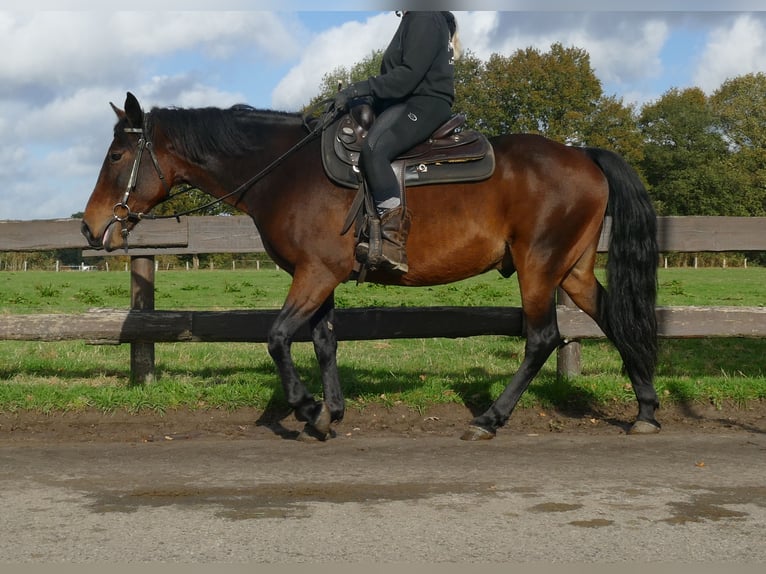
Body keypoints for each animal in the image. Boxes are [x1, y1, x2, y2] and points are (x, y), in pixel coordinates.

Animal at [82, 94, 660, 444]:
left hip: (538, 267)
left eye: (116, 156)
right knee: (615, 319)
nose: (90, 229)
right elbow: (323, 341)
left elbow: (277, 337)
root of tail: (583, 154)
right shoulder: (321, 274)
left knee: (542, 338)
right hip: (572, 270)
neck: (288, 172)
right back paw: (647, 409)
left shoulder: (315, 273)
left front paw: (306, 408)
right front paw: (329, 413)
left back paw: (490, 419)